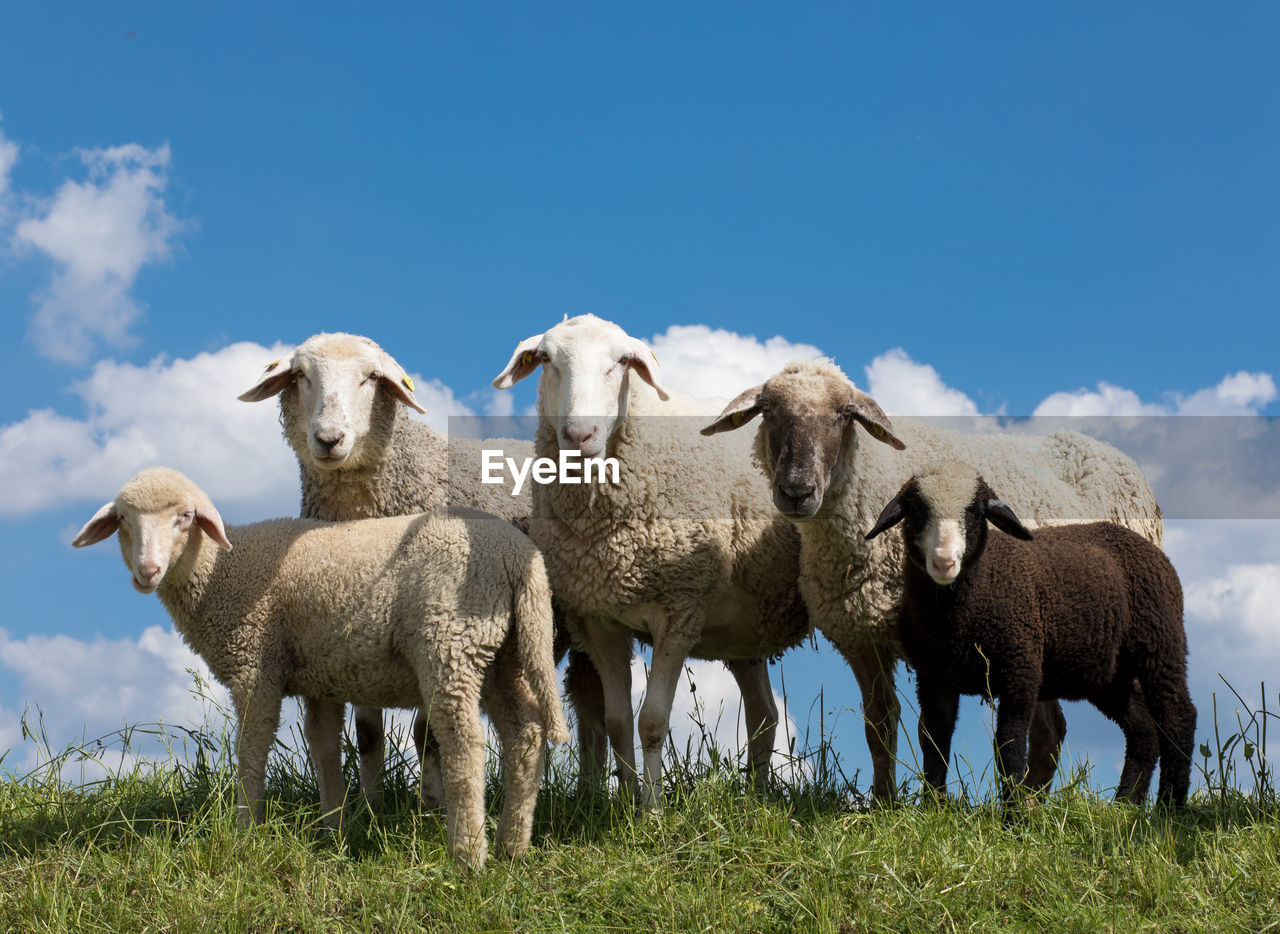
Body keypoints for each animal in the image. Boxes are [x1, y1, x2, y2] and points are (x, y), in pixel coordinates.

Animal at [491, 314, 808, 808]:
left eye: (622, 362)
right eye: (545, 359)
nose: (579, 436)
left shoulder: (680, 611)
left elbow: (653, 720)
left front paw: (653, 812)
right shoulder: (597, 619)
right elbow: (617, 720)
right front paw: (623, 805)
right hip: (746, 627)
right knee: (764, 715)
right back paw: (754, 800)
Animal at [706, 360, 1167, 798]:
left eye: (842, 415)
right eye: (768, 411)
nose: (797, 491)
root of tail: (1109, 452)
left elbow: (931, 729)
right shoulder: (862, 635)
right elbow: (880, 724)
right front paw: (883, 803)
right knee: (1051, 731)